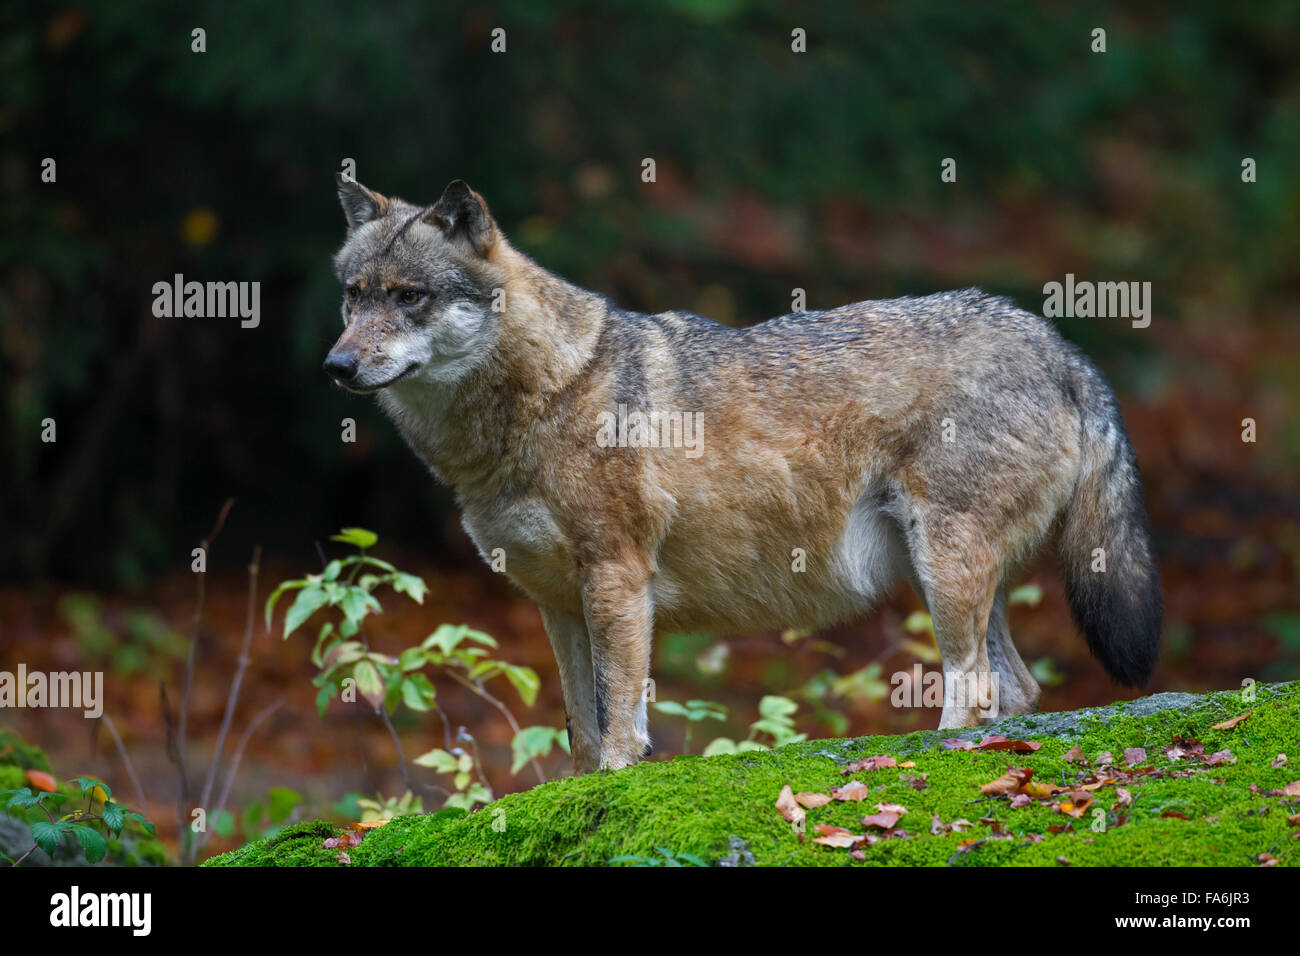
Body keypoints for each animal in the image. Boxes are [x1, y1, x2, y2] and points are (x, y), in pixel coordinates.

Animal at [322, 179, 1159, 775]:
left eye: (409, 297)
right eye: (353, 296)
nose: (336, 365)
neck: (543, 398)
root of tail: (1059, 344)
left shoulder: (617, 579)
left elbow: (618, 722)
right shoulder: (555, 605)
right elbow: (581, 735)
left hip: (946, 572)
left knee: (976, 690)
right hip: (951, 580)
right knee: (1016, 690)